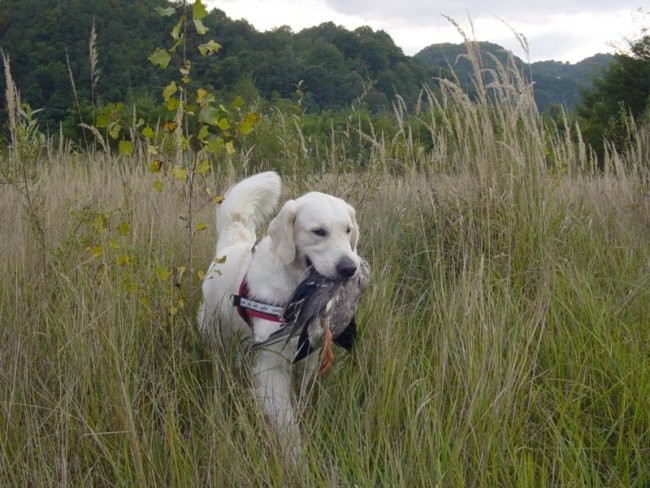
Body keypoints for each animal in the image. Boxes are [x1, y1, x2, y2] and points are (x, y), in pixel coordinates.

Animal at [197, 172, 360, 450]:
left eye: (347, 230)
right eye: (319, 232)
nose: (350, 268)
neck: (295, 289)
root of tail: (230, 245)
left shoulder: (309, 355)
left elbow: (303, 396)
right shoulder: (271, 366)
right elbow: (286, 424)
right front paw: (296, 456)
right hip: (213, 330)